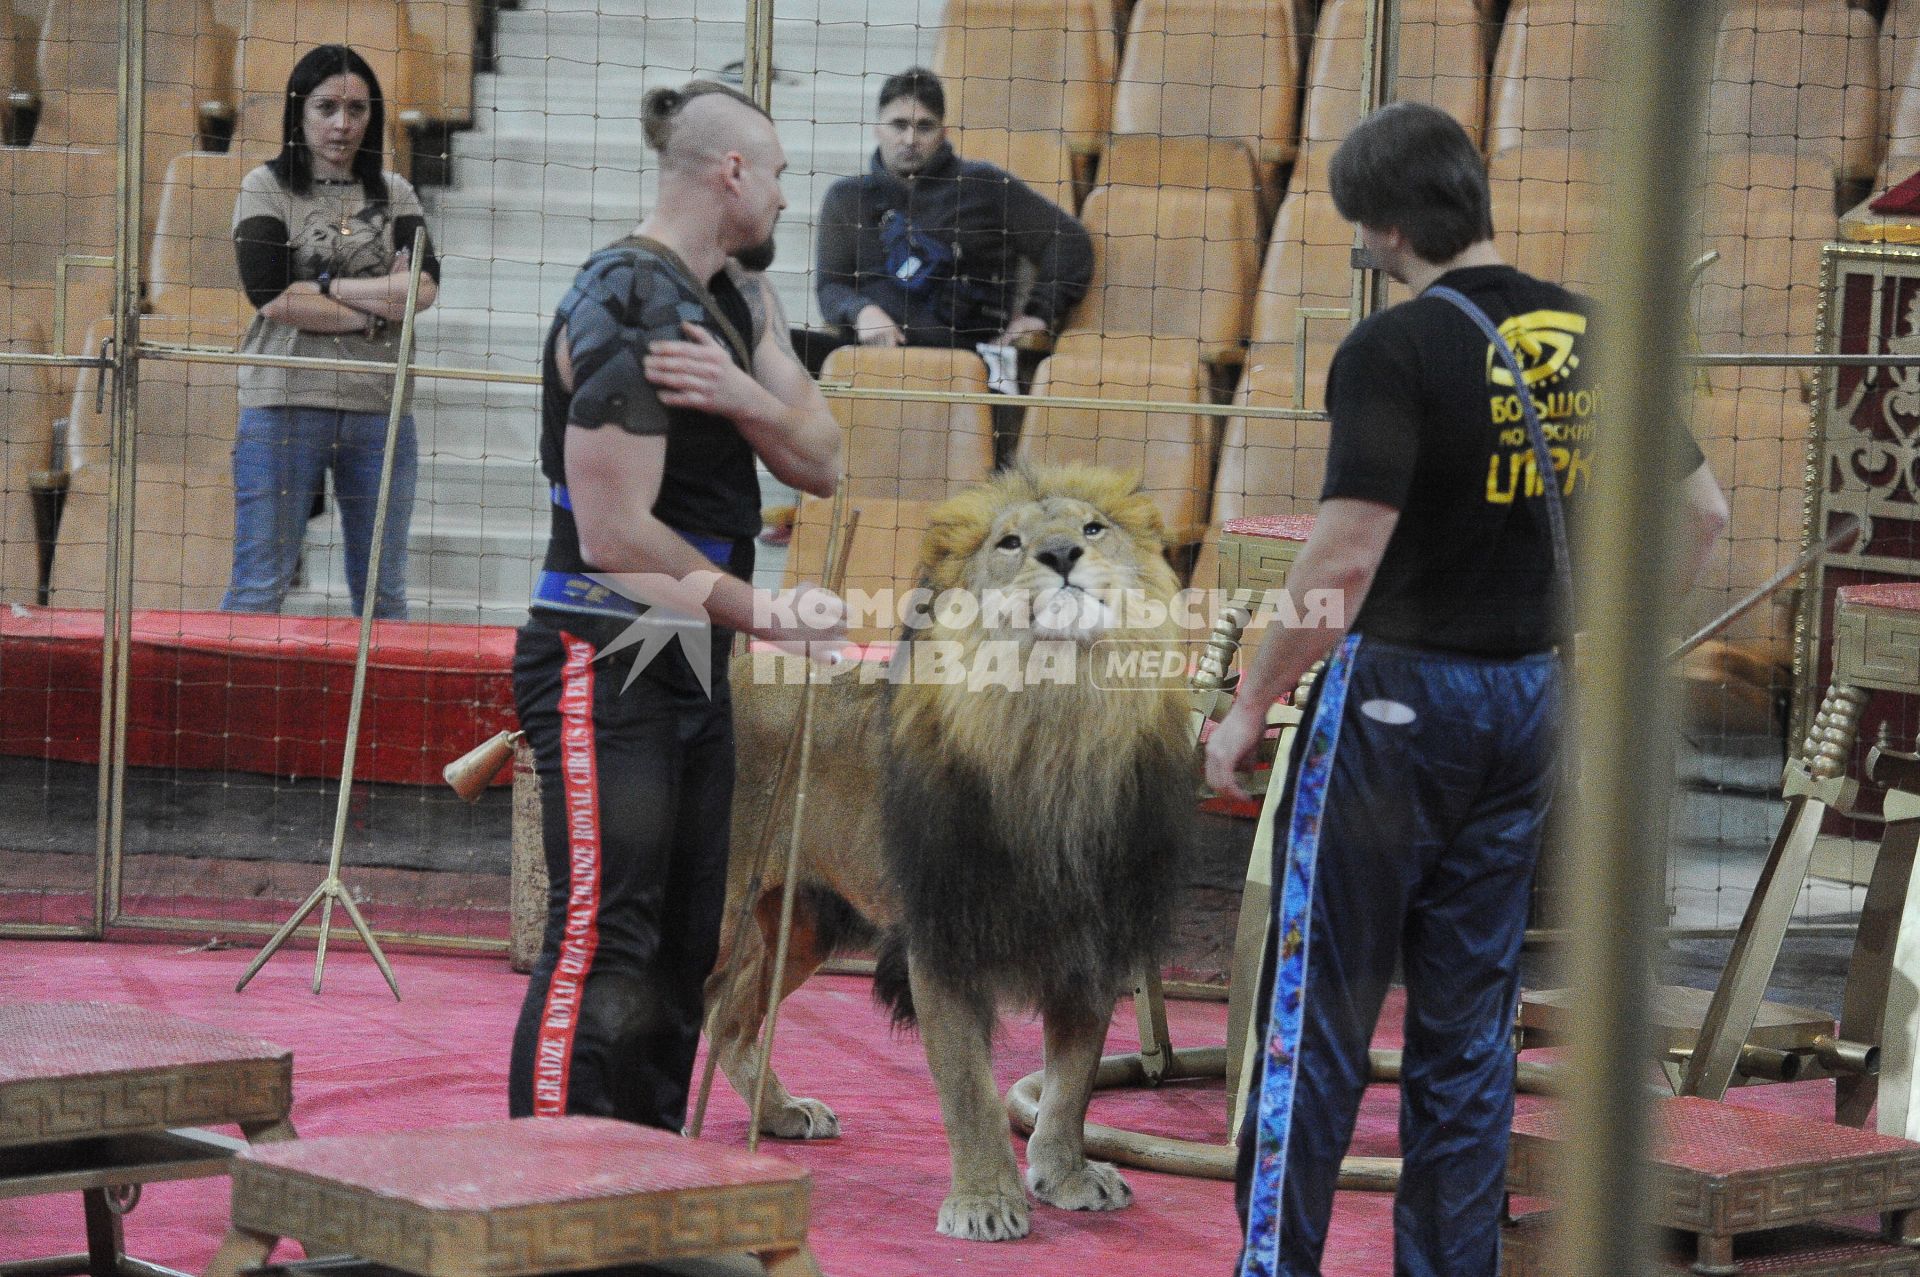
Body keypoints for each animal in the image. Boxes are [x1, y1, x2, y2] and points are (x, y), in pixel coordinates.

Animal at [706, 462, 1182, 1236]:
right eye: (1011, 542)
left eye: (1093, 528)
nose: (1062, 555)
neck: (1059, 721)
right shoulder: (942, 942)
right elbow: (968, 1084)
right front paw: (986, 1202)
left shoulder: (1093, 937)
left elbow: (1073, 1079)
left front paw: (1066, 1175)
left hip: (802, 922)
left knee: (728, 1016)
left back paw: (778, 1113)